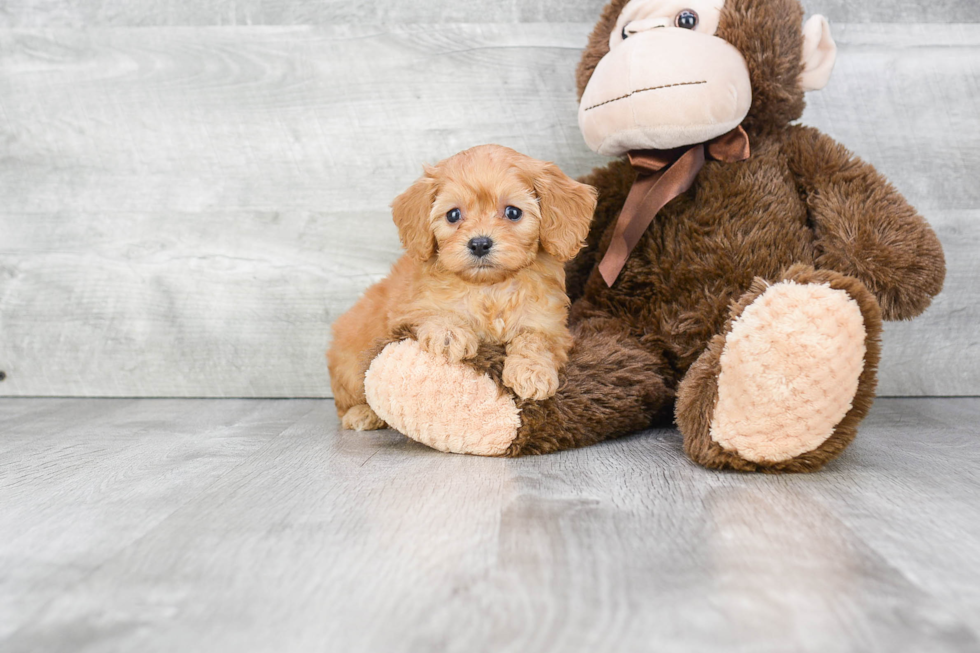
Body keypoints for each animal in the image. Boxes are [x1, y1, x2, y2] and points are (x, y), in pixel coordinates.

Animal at [328, 143, 596, 430]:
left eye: (513, 212)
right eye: (453, 215)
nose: (479, 243)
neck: (490, 287)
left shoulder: (551, 325)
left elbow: (536, 340)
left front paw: (531, 372)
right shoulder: (406, 310)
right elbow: (431, 312)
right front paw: (449, 333)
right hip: (350, 363)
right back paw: (362, 414)